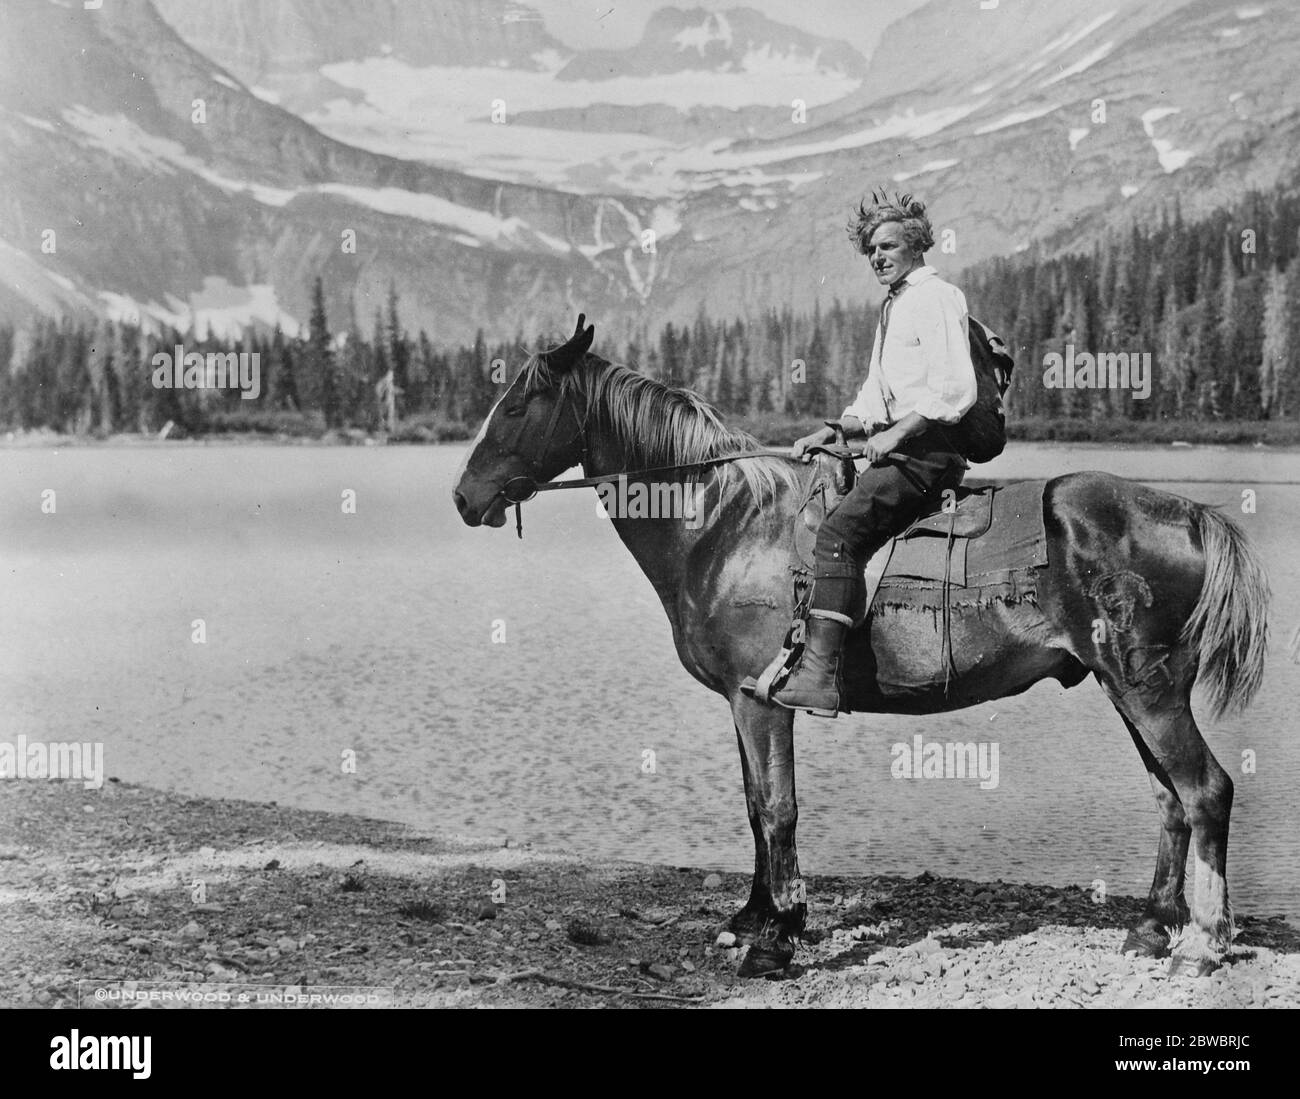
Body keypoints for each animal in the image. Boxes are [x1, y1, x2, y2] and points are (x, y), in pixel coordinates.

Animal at [454, 313, 1268, 972]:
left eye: (518, 403)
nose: (465, 497)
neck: (723, 523)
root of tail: (1188, 513)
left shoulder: (762, 700)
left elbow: (777, 808)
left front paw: (779, 935)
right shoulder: (740, 701)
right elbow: (753, 806)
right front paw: (753, 916)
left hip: (1146, 687)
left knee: (1206, 791)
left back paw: (1203, 942)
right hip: (1123, 687)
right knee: (1169, 798)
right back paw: (1152, 927)